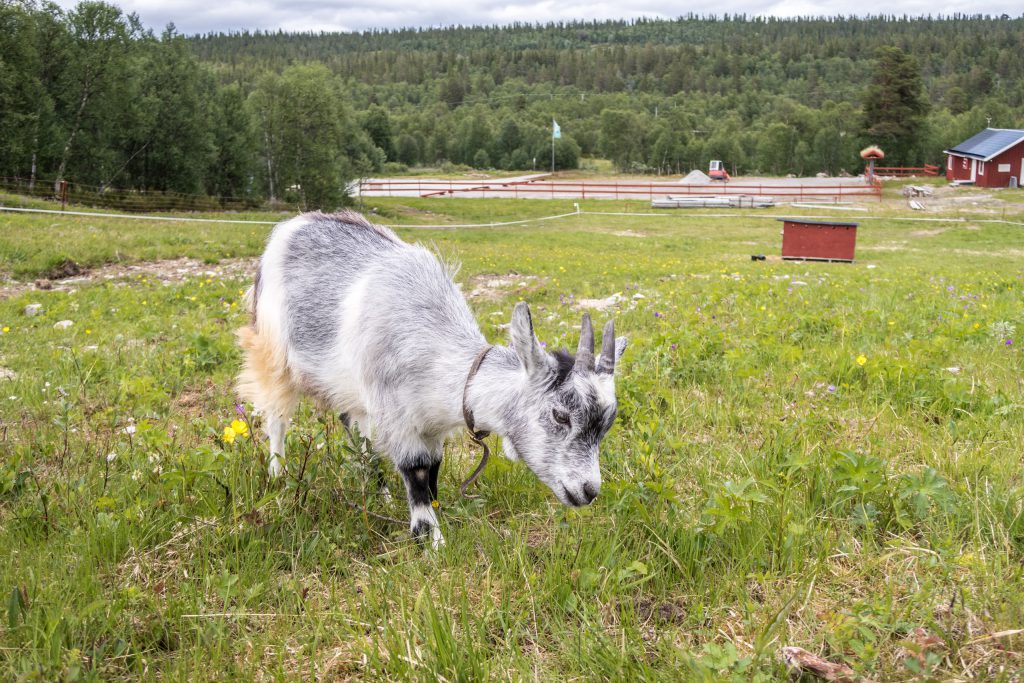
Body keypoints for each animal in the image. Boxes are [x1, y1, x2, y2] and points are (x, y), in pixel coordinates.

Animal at [236, 210, 626, 548]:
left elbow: (433, 470)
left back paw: (378, 489)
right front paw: (430, 540)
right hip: (272, 350)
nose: (589, 491)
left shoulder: (429, 421)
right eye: (560, 415)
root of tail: (295, 223)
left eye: (606, 424)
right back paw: (279, 475)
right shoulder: (399, 415)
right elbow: (417, 470)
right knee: (277, 416)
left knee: (353, 424)